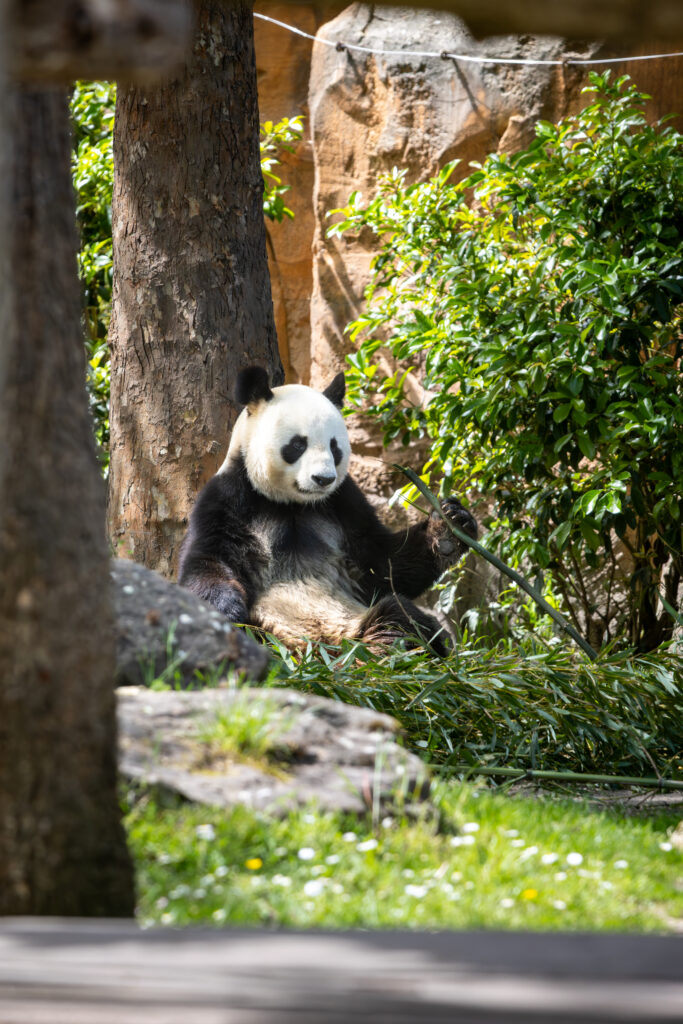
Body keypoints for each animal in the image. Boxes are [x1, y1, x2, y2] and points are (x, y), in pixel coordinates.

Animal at [178, 365, 477, 654]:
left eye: (335, 447)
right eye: (298, 444)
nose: (323, 479)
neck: (292, 505)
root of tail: (323, 650)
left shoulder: (343, 502)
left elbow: (384, 565)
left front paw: (450, 526)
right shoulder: (229, 497)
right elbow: (207, 560)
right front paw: (225, 609)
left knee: (402, 615)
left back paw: (395, 644)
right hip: (271, 633)